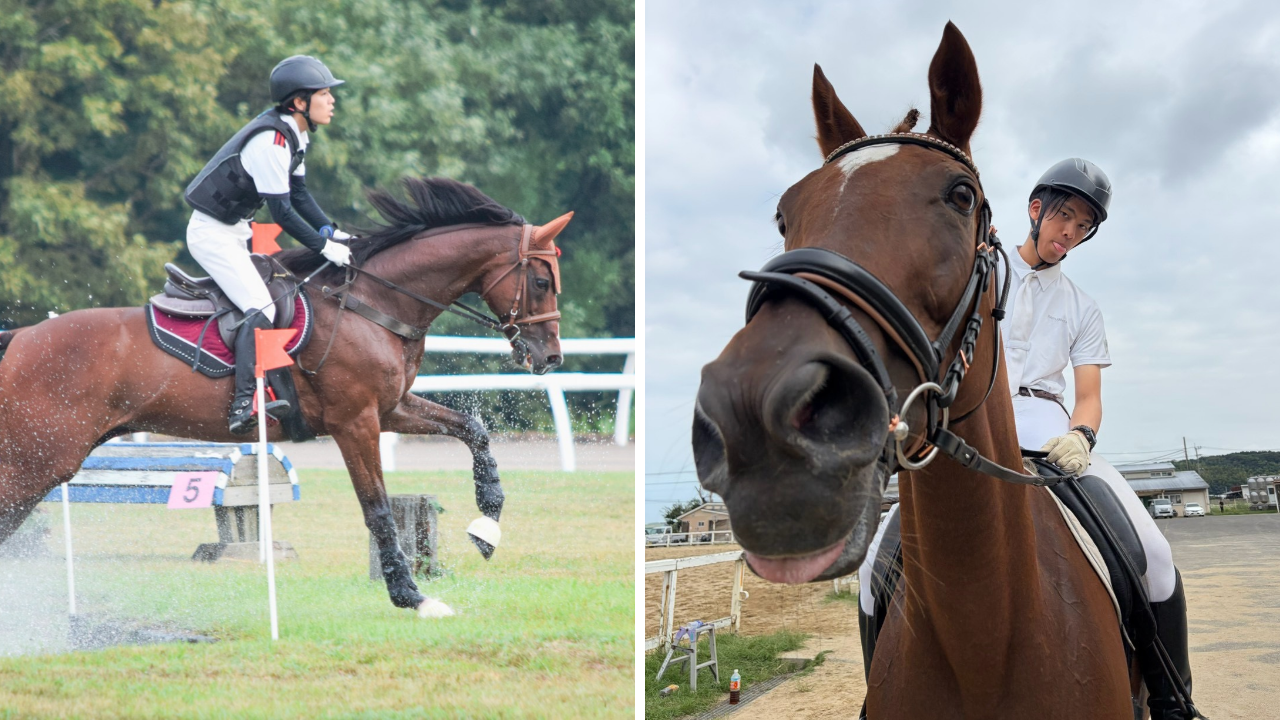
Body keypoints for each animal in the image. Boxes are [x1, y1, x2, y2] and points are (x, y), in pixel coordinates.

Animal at [0, 177, 570, 618]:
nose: (550, 357)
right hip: (38, 459)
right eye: (542, 281)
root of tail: (21, 338)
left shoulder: (389, 410)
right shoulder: (354, 422)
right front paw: (412, 597)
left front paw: (487, 525)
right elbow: (378, 510)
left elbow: (474, 430)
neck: (373, 302)